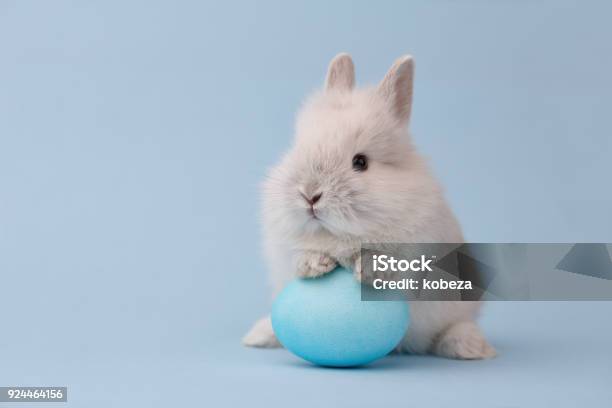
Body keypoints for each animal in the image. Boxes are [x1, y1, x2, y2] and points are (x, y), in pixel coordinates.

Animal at [241, 52, 494, 358]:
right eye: (298, 148)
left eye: (360, 162)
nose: (309, 194)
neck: (340, 236)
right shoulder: (284, 250)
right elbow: (300, 256)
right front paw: (315, 264)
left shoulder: (420, 251)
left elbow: (394, 263)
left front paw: (369, 270)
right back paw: (258, 335)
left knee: (454, 326)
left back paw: (472, 347)